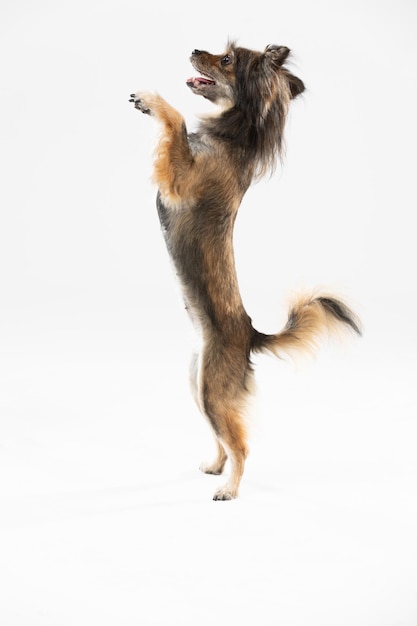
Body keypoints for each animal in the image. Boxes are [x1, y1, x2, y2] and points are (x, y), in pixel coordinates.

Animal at [128, 41, 360, 500]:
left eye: (227, 60)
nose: (195, 48)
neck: (231, 137)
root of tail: (251, 334)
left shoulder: (179, 180)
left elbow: (177, 120)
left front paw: (152, 100)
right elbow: (177, 124)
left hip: (212, 389)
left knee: (241, 444)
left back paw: (230, 488)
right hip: (198, 384)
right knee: (222, 436)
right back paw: (216, 467)